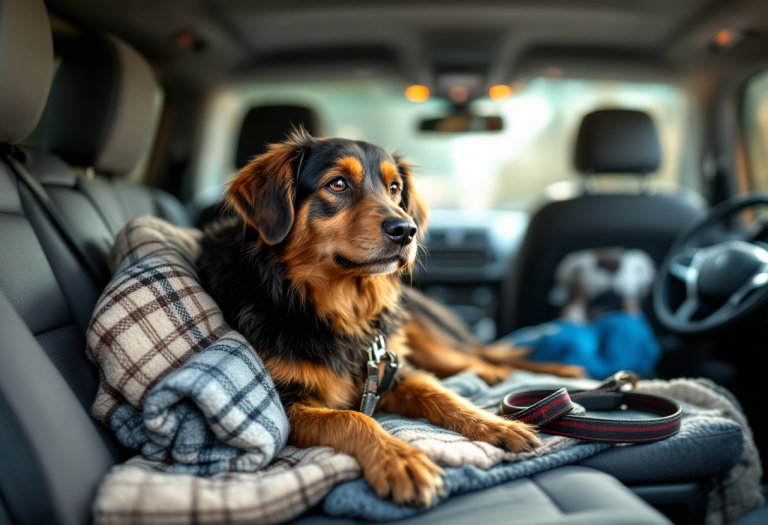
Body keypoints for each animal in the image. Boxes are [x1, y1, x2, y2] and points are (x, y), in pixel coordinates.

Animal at [201, 130, 580, 508]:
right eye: (337, 184)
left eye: (395, 188)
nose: (406, 230)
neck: (338, 308)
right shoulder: (287, 405)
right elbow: (351, 418)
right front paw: (399, 459)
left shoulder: (392, 370)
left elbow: (440, 394)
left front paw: (495, 424)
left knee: (481, 357)